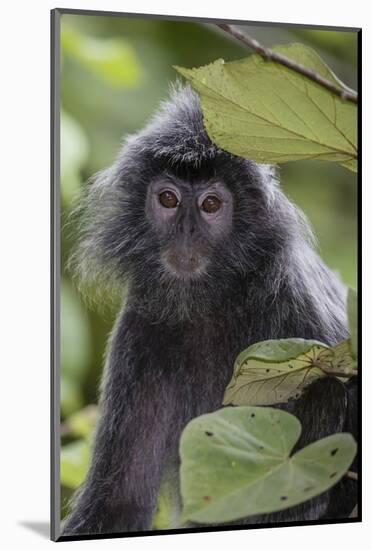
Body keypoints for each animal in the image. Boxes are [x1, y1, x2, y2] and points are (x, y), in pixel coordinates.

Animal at [62, 86, 358, 540]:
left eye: (211, 204)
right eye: (168, 199)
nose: (186, 232)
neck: (211, 304)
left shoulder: (305, 315)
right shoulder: (139, 329)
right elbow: (118, 503)